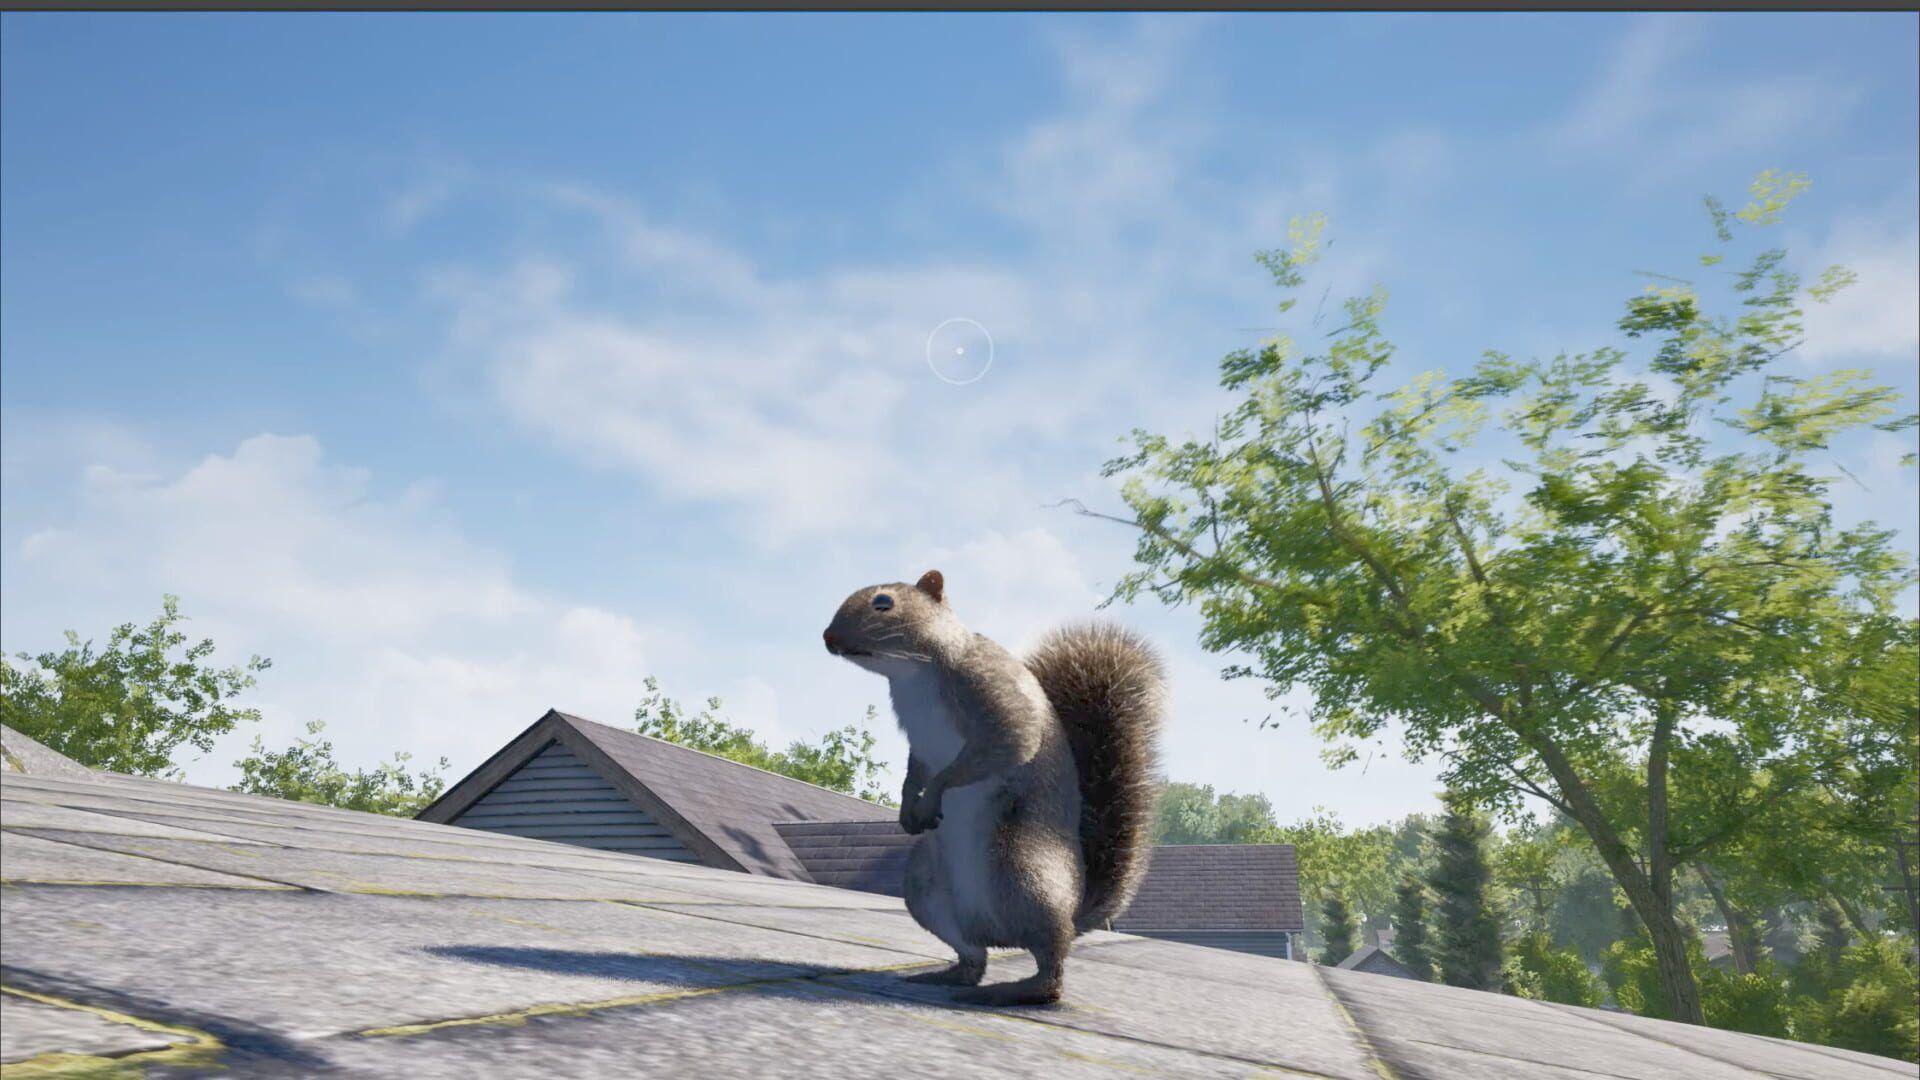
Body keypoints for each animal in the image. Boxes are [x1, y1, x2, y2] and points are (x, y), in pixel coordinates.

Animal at [823, 569, 1165, 1005]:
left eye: (884, 603)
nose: (829, 637)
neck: (913, 674)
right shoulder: (918, 740)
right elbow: (915, 770)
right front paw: (907, 808)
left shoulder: (991, 692)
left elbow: (1006, 742)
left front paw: (931, 798)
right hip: (925, 888)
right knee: (974, 958)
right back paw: (947, 976)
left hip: (1023, 872)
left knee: (1051, 968)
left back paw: (1015, 989)